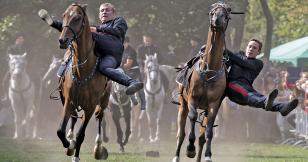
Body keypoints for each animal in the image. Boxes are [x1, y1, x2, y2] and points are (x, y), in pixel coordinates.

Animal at [53, 3, 110, 161]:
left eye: (78, 18)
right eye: (64, 15)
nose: (63, 41)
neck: (83, 71)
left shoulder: (90, 107)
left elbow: (81, 134)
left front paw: (76, 154)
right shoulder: (68, 101)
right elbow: (60, 130)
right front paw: (69, 145)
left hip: (104, 101)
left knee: (100, 117)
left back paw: (98, 148)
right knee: (73, 119)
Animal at [173, 2, 231, 162]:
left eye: (226, 13)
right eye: (213, 12)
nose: (217, 19)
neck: (209, 69)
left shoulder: (213, 105)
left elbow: (209, 131)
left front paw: (208, 155)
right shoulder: (192, 99)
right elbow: (192, 118)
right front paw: (190, 149)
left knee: (202, 136)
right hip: (183, 104)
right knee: (181, 133)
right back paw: (177, 155)